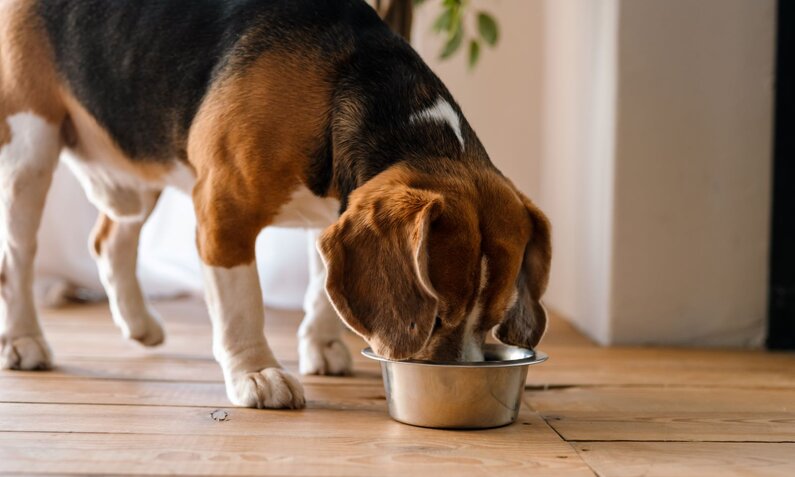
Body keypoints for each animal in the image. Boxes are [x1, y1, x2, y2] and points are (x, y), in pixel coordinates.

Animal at [0, 0, 552, 410]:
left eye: (493, 319)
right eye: (436, 319)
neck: (344, 88)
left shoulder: (335, 218)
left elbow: (324, 291)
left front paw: (322, 345)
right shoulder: (223, 211)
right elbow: (243, 303)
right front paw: (257, 372)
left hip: (140, 153)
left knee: (110, 237)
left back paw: (138, 324)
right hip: (29, 148)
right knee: (18, 258)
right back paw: (23, 341)